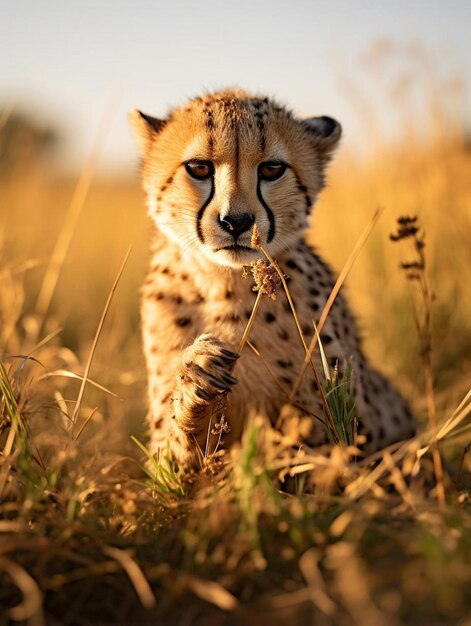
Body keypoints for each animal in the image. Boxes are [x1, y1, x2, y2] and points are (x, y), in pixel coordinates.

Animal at [130, 88, 416, 468]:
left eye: (271, 169)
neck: (227, 287)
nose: (236, 221)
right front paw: (197, 371)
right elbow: (177, 453)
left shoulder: (349, 420)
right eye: (199, 167)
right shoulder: (168, 456)